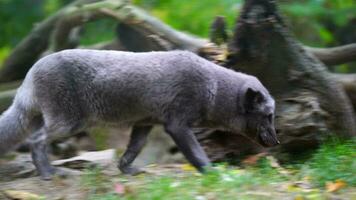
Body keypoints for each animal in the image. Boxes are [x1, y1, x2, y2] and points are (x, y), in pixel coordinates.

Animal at [0, 50, 278, 180]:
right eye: (269, 116)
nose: (276, 142)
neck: (212, 87)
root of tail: (31, 72)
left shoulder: (145, 123)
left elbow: (133, 150)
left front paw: (127, 170)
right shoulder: (177, 125)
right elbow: (198, 155)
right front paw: (214, 174)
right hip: (68, 124)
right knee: (36, 141)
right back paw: (48, 173)